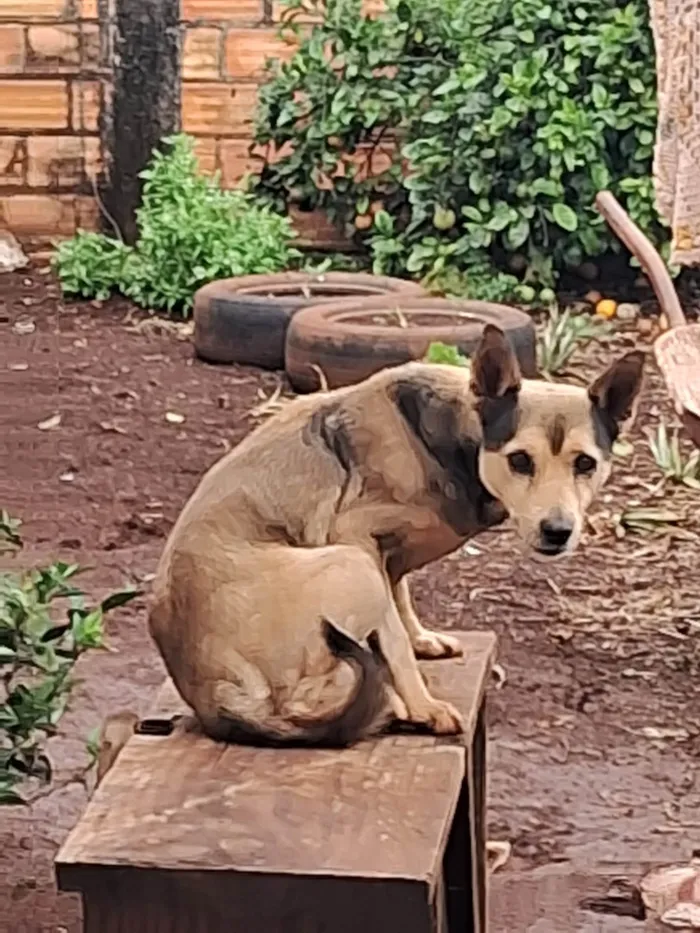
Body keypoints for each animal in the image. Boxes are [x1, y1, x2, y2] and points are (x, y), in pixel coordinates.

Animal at [149, 324, 644, 748]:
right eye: (520, 460)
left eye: (585, 463)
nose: (558, 532)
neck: (451, 435)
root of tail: (215, 696)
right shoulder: (354, 535)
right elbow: (393, 639)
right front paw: (422, 703)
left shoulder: (385, 557)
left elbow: (401, 599)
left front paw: (422, 638)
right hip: (350, 566)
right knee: (309, 700)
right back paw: (392, 706)